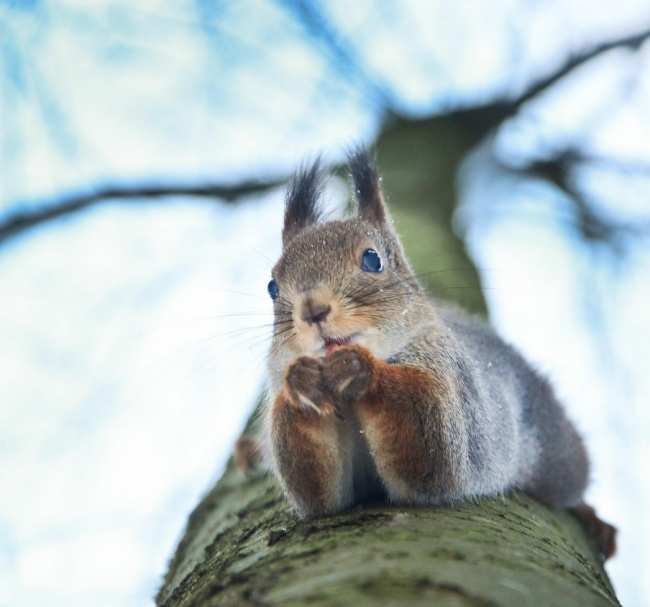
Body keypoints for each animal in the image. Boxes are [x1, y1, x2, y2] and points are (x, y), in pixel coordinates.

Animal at [251, 148, 616, 560]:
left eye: (373, 260)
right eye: (272, 286)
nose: (313, 310)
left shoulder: (452, 381)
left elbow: (435, 457)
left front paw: (361, 369)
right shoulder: (324, 490)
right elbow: (319, 494)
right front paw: (301, 383)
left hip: (556, 454)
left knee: (570, 483)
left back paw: (590, 516)